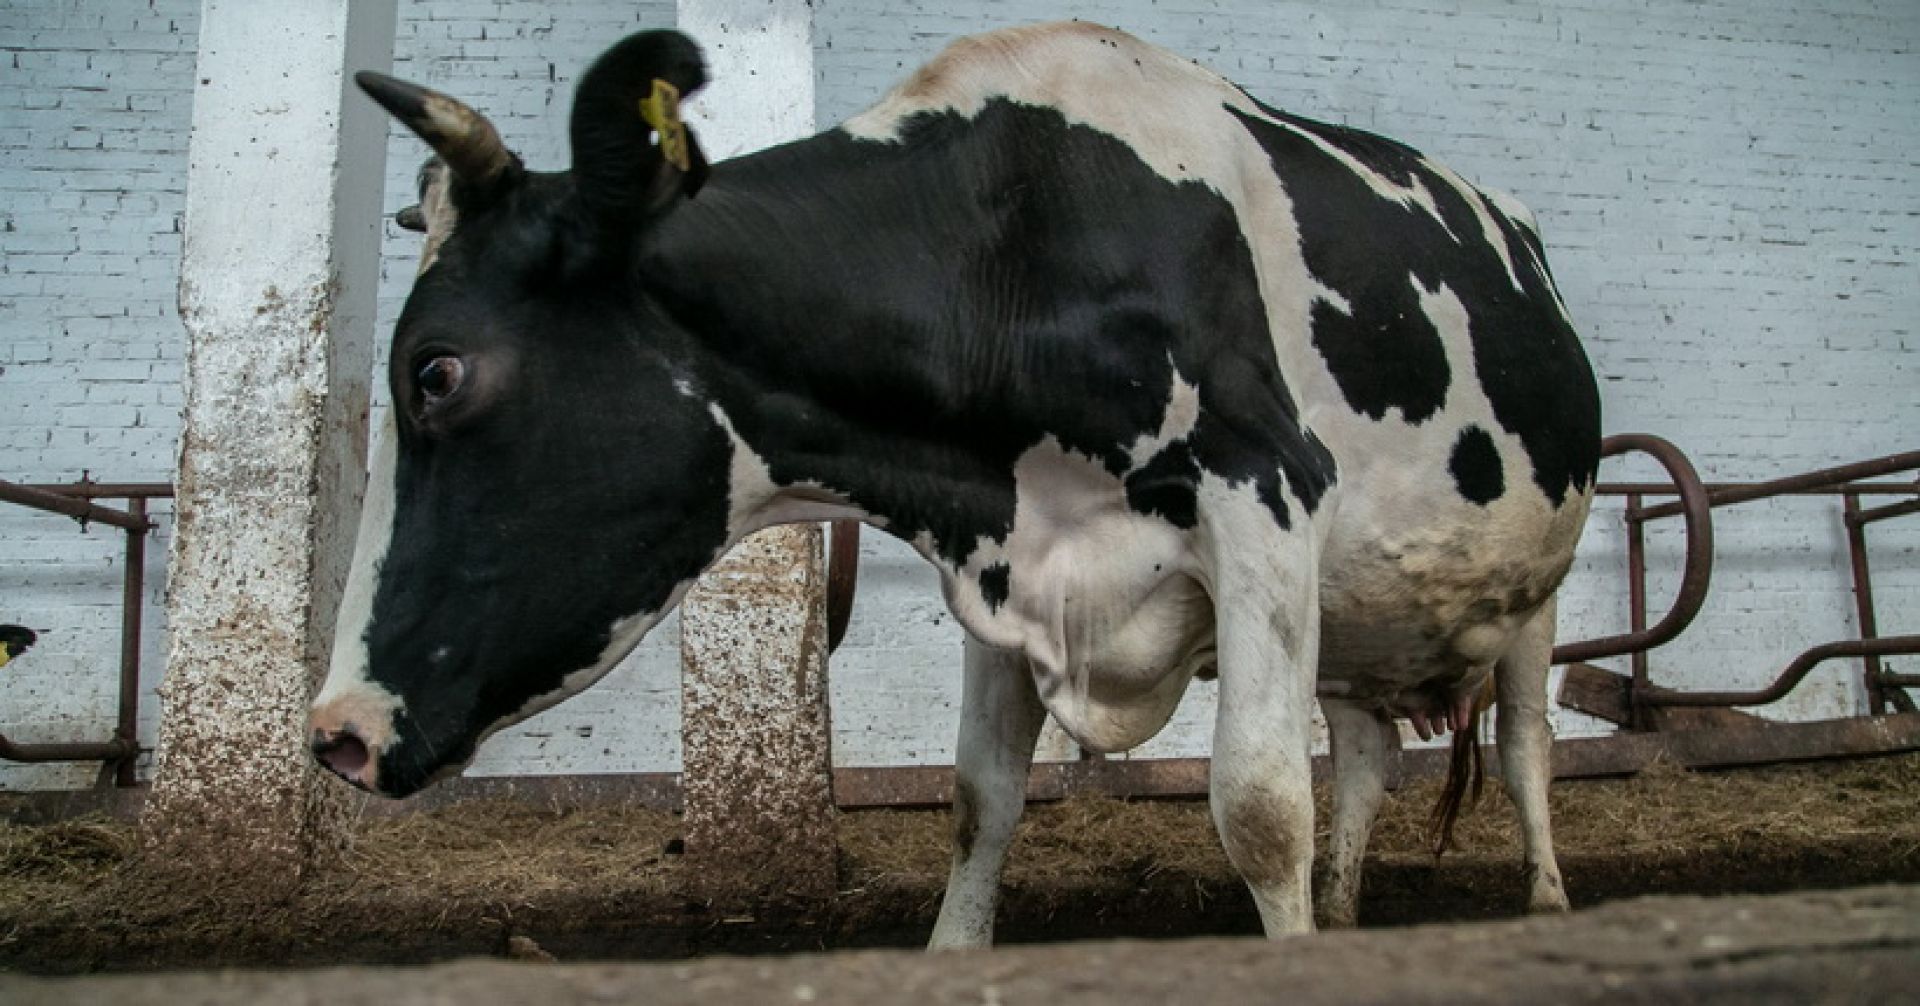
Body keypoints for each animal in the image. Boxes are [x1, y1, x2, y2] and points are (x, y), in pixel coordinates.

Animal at [310, 22, 1598, 941]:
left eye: (434, 371)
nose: (334, 734)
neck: (1019, 245)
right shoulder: (1003, 553)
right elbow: (982, 801)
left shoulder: (1265, 496)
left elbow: (1262, 805)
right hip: (1360, 621)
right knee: (1371, 754)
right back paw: (1345, 913)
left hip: (1533, 593)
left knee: (1527, 743)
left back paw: (1545, 900)